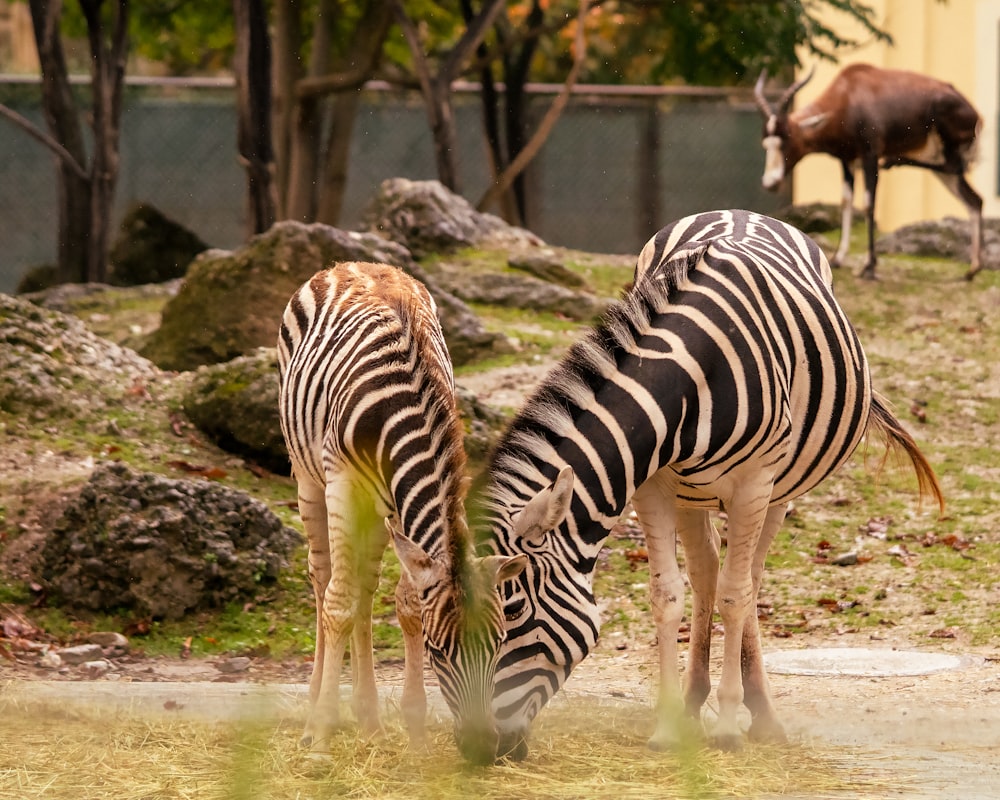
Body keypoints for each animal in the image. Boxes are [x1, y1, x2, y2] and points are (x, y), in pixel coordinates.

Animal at [274, 262, 524, 764]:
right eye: (438, 651)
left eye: (500, 644)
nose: (482, 750)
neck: (402, 401)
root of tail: (351, 264)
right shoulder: (342, 481)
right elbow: (338, 603)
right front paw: (321, 741)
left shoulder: (399, 502)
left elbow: (406, 604)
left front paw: (416, 733)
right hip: (309, 478)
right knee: (324, 580)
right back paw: (315, 715)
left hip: (375, 508)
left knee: (365, 588)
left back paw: (369, 721)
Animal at [480, 209, 940, 760]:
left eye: (515, 612)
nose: (480, 746)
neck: (692, 372)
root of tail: (744, 211)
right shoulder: (651, 483)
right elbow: (667, 594)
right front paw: (668, 726)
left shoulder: (754, 483)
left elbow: (737, 596)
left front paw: (727, 728)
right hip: (690, 492)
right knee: (707, 572)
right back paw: (695, 700)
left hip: (779, 489)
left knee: (747, 578)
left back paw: (759, 713)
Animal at [752, 64, 980, 280]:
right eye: (765, 143)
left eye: (787, 141)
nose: (769, 183)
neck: (849, 92)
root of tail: (973, 112)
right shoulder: (847, 162)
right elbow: (846, 202)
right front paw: (838, 258)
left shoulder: (870, 156)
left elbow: (869, 204)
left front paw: (869, 267)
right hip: (940, 164)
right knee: (974, 200)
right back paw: (971, 271)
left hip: (944, 153)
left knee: (955, 167)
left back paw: (892, 162)